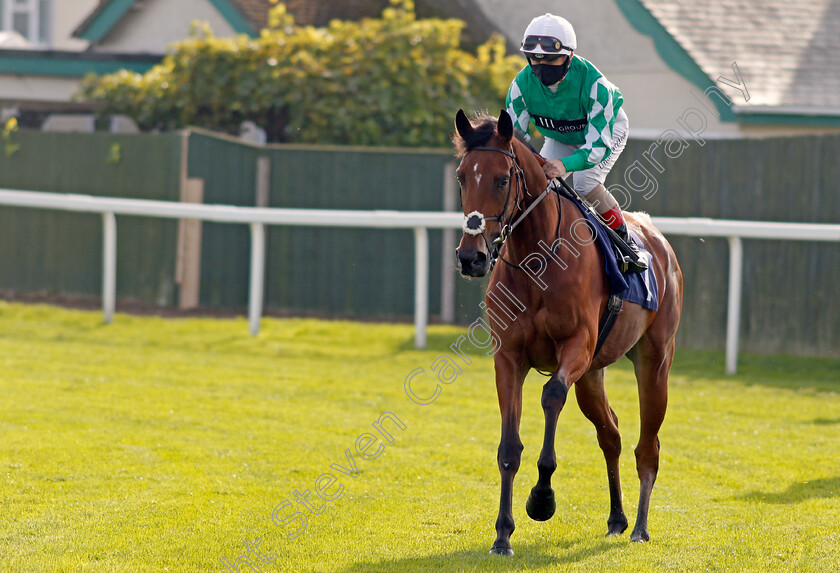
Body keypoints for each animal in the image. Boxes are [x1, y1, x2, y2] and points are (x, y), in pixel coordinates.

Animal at [452, 108, 684, 556]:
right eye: (461, 177)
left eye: (502, 179)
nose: (472, 257)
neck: (537, 259)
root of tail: (658, 240)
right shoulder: (508, 358)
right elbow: (509, 447)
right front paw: (502, 534)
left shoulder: (576, 347)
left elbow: (551, 396)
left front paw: (542, 499)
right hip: (593, 376)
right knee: (611, 435)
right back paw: (617, 518)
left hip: (654, 362)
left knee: (648, 447)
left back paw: (640, 527)